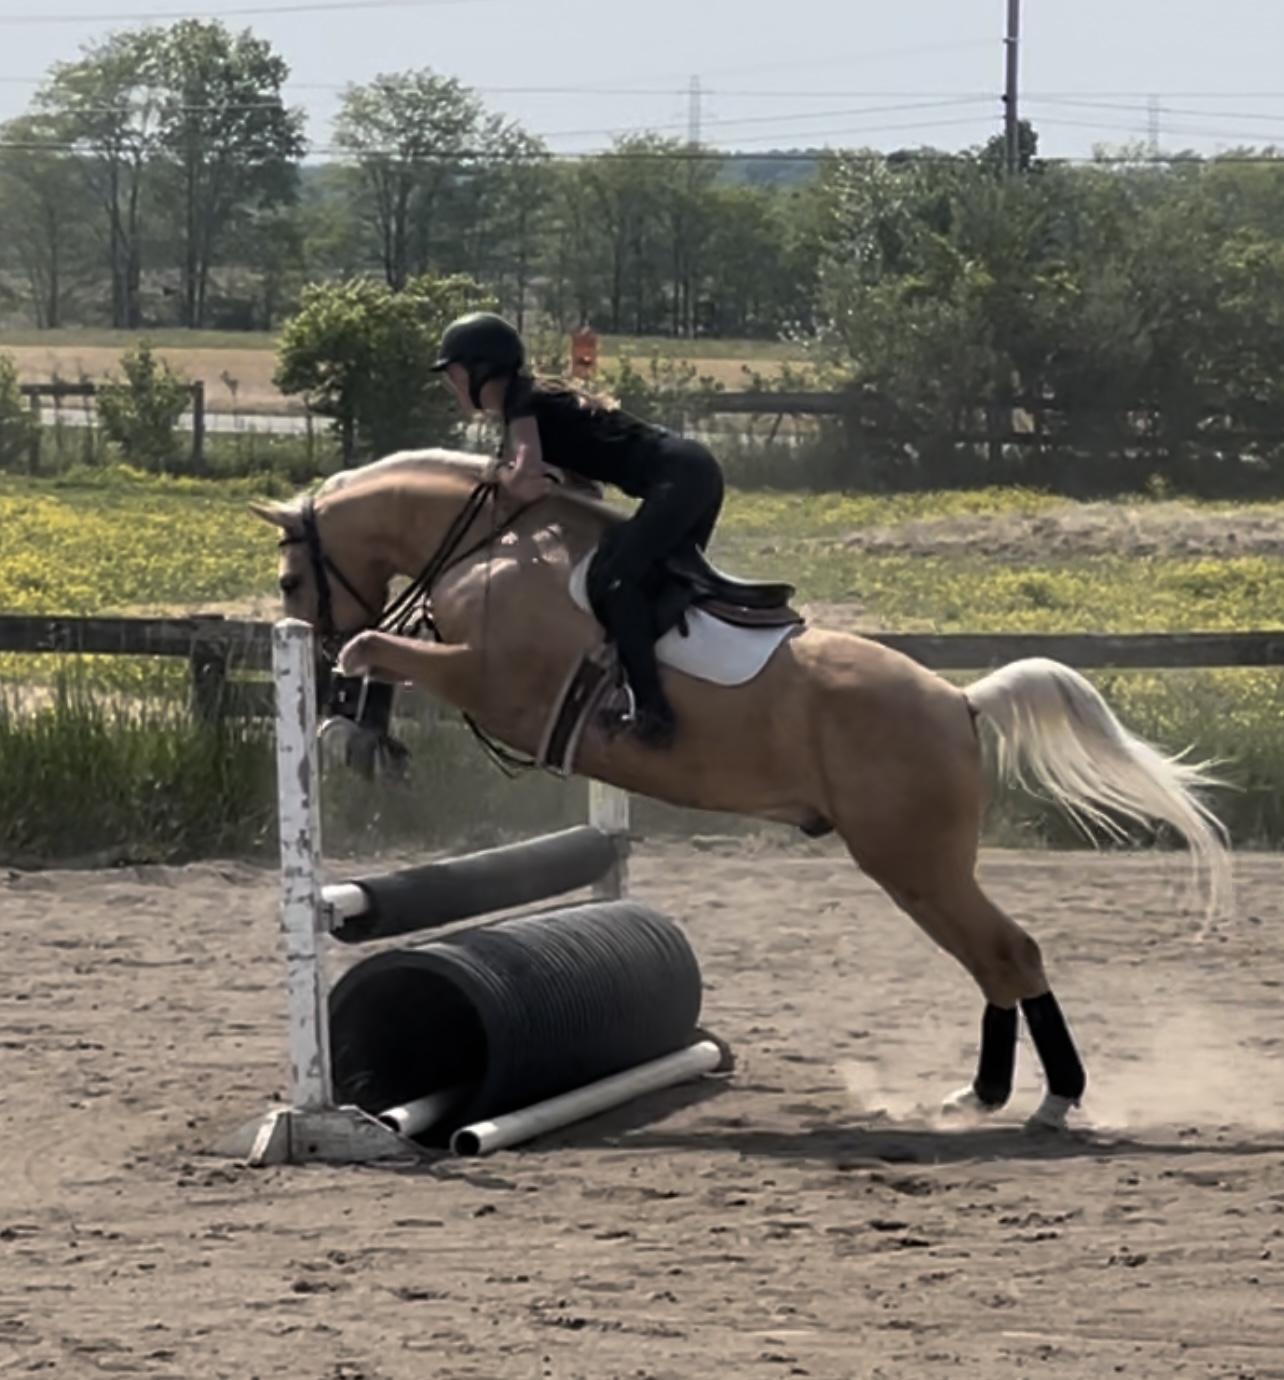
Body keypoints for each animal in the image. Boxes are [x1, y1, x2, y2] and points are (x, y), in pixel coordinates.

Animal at [251, 448, 1231, 1132]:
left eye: (291, 578)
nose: (304, 649)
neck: (495, 545)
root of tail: (959, 700)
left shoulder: (497, 687)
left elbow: (375, 645)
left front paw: (351, 728)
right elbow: (383, 646)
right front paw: (359, 732)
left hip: (913, 861)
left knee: (1009, 953)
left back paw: (1051, 1101)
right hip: (919, 865)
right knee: (993, 960)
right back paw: (983, 1095)